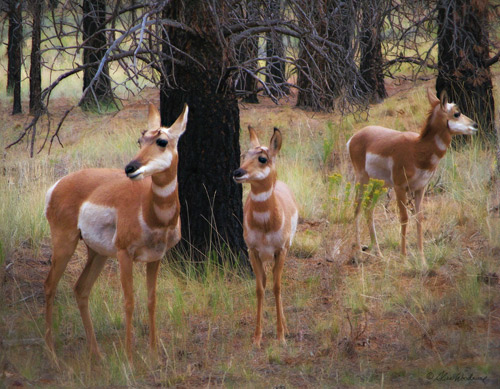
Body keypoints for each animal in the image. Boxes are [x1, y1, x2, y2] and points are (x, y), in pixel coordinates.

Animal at [44, 104, 188, 360]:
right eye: (140, 139)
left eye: (161, 140)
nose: (130, 168)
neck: (149, 210)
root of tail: (58, 184)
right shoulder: (124, 254)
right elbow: (129, 301)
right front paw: (129, 356)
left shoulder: (156, 258)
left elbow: (151, 300)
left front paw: (153, 353)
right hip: (65, 244)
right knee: (50, 286)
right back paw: (52, 353)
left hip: (97, 253)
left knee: (81, 289)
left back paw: (96, 354)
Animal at [233, 126, 298, 348]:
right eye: (244, 155)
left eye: (262, 158)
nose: (237, 172)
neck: (265, 225)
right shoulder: (253, 251)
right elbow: (260, 288)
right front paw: (257, 338)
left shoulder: (281, 250)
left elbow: (277, 288)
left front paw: (281, 336)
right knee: (266, 280)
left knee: (277, 281)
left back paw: (286, 328)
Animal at [348, 89, 476, 266]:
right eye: (456, 113)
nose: (474, 125)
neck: (417, 149)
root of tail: (354, 137)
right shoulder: (400, 188)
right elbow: (404, 217)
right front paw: (403, 257)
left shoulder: (420, 189)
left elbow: (419, 218)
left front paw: (422, 260)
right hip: (363, 181)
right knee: (357, 207)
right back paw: (359, 252)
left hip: (379, 185)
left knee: (369, 209)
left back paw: (378, 253)